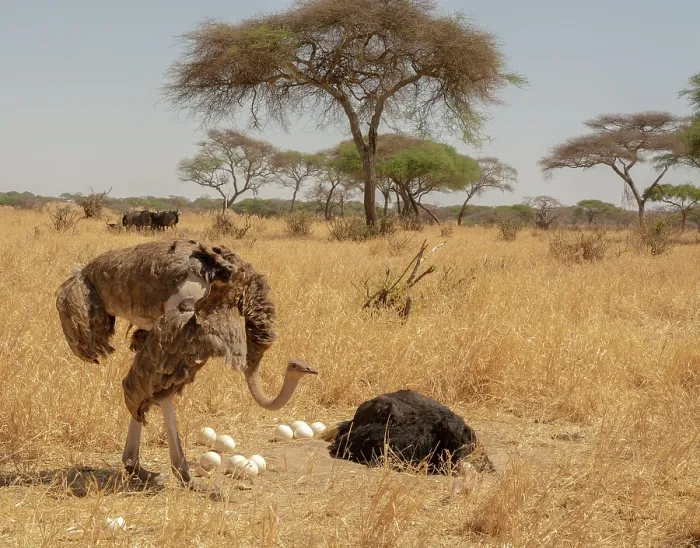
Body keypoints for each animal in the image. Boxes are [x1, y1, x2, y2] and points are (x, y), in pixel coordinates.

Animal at [55, 238, 317, 490]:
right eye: (297, 367)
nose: (312, 370)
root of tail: (84, 276)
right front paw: (186, 477)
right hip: (181, 325)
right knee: (149, 388)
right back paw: (179, 475)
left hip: (153, 327)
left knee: (143, 385)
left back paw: (137, 468)